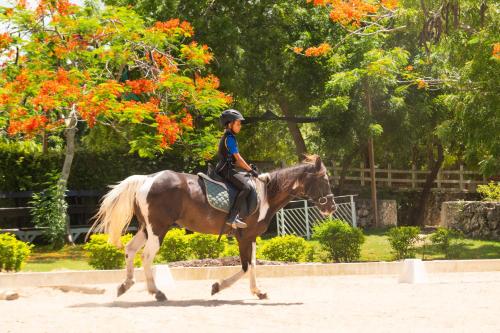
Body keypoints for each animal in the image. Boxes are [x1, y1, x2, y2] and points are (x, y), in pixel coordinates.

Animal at [90, 154, 336, 300]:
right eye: (324, 180)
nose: (331, 207)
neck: (265, 194)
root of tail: (147, 179)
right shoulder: (244, 236)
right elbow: (245, 266)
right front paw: (217, 286)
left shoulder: (251, 238)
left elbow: (253, 265)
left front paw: (257, 291)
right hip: (159, 229)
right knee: (147, 256)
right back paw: (156, 292)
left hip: (146, 228)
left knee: (130, 250)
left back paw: (126, 284)